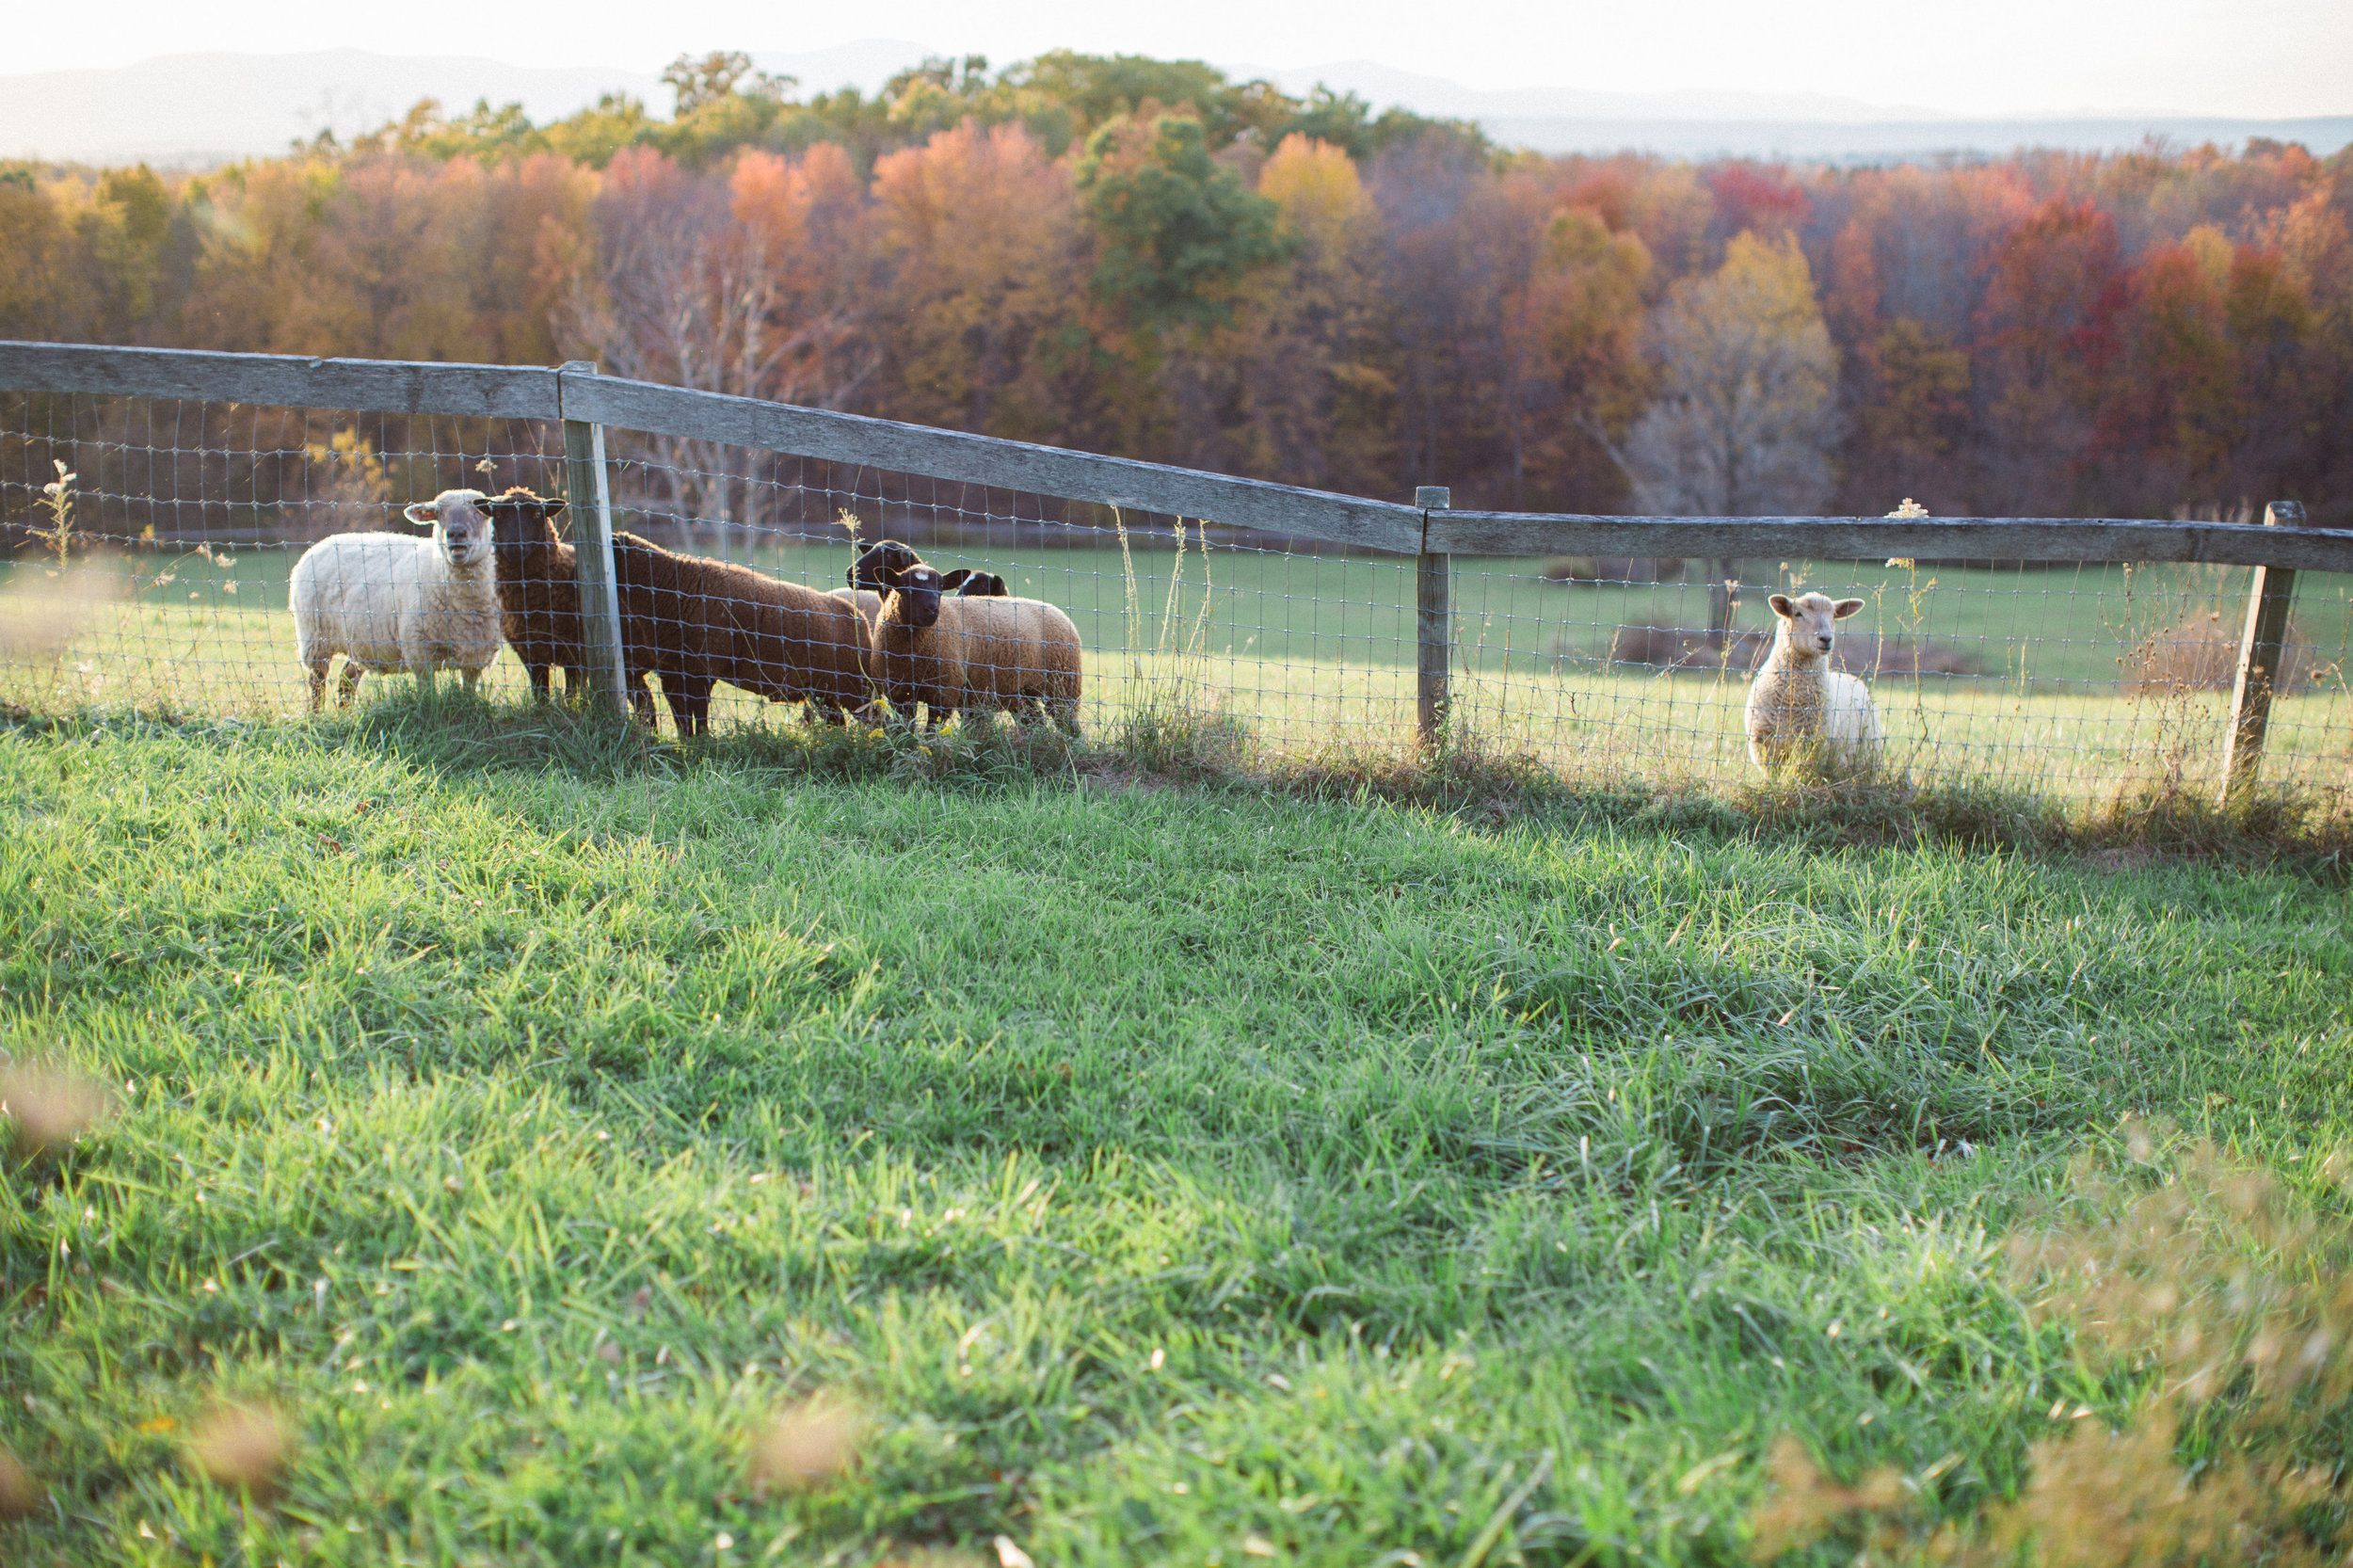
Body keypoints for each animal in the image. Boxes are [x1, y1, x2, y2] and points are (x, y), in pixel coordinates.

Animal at [289, 489, 505, 706]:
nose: (455, 533)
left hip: (361, 640)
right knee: (317, 682)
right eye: (438, 513)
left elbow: (468, 695)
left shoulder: (474, 659)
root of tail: (322, 543)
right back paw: (316, 712)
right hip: (315, 640)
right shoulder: (419, 652)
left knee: (347, 680)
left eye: (479, 511)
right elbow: (428, 695)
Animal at [1751, 588, 1892, 772]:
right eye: (1798, 613)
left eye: (1833, 615)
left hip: (1867, 751)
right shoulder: (1764, 741)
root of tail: (1852, 678)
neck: (1793, 699)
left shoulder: (1813, 743)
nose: (1826, 638)